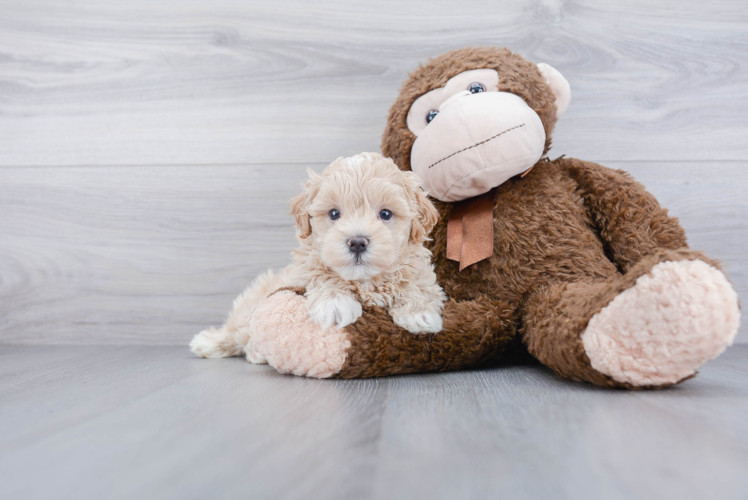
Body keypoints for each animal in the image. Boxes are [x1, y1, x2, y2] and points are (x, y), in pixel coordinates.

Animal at [191, 150, 444, 362]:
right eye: (334, 213)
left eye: (385, 214)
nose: (357, 242)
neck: (364, 282)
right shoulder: (302, 269)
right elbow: (321, 274)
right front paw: (335, 303)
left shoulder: (418, 268)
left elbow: (418, 283)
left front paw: (419, 314)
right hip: (252, 304)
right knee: (239, 329)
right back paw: (210, 343)